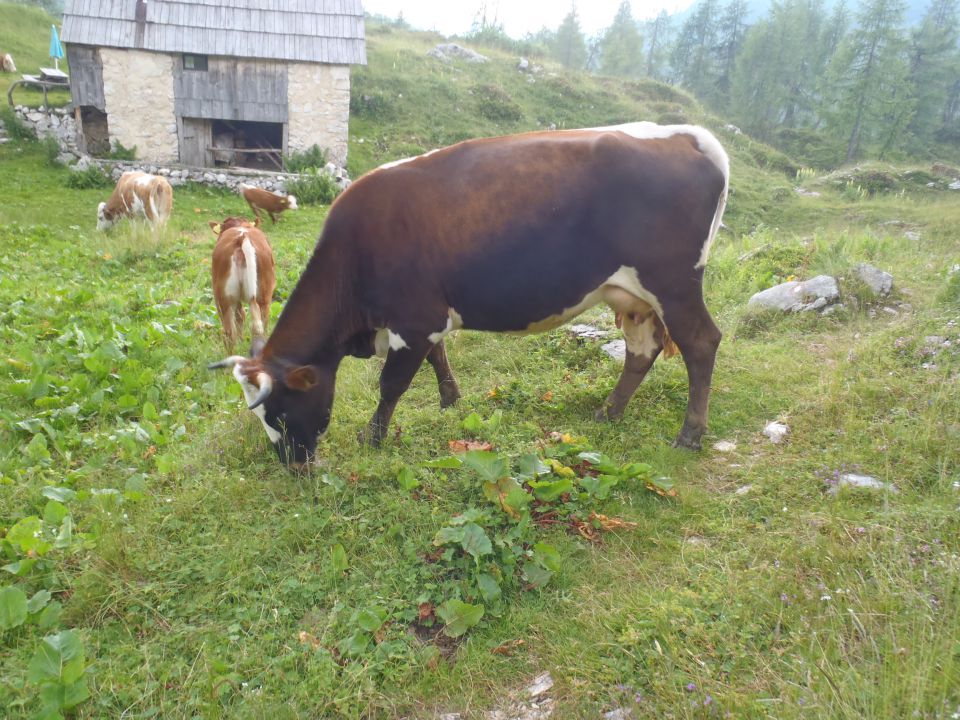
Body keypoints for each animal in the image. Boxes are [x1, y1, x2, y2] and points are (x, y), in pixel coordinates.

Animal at [207, 214, 274, 352]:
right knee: (262, 325)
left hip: (223, 299)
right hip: (264, 297)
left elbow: (240, 316)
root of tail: (242, 237)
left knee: (229, 332)